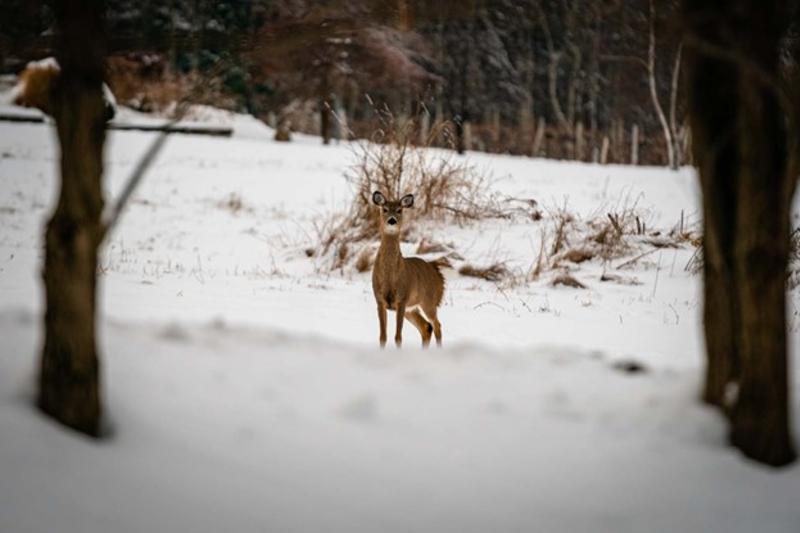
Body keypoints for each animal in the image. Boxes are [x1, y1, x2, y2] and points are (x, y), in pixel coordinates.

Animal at [370, 191, 444, 350]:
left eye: (399, 210)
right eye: (384, 209)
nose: (392, 220)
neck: (390, 277)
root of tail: (437, 274)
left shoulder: (402, 299)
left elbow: (398, 337)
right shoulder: (380, 300)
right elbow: (382, 337)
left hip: (428, 301)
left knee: (436, 325)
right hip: (412, 308)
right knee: (426, 327)